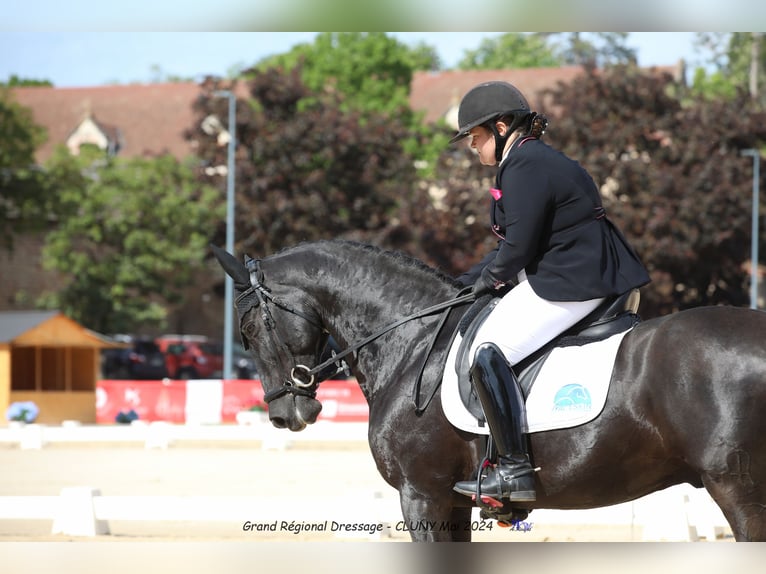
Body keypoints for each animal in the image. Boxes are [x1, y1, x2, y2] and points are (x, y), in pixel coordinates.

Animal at [213, 240, 766, 544]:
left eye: (248, 328)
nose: (285, 414)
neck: (412, 340)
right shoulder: (451, 502)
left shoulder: (423, 494)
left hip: (737, 489)